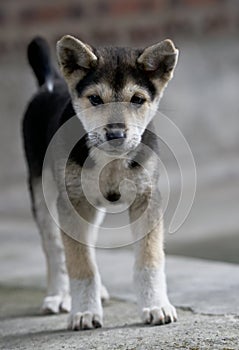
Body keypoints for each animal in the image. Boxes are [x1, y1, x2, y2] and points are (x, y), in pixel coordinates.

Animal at [22, 34, 179, 330]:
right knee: (54, 249)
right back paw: (58, 295)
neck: (111, 160)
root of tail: (50, 83)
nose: (116, 134)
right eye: (95, 99)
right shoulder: (71, 202)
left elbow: (149, 260)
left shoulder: (146, 198)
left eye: (137, 99)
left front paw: (156, 306)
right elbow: (81, 263)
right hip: (42, 194)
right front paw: (84, 312)